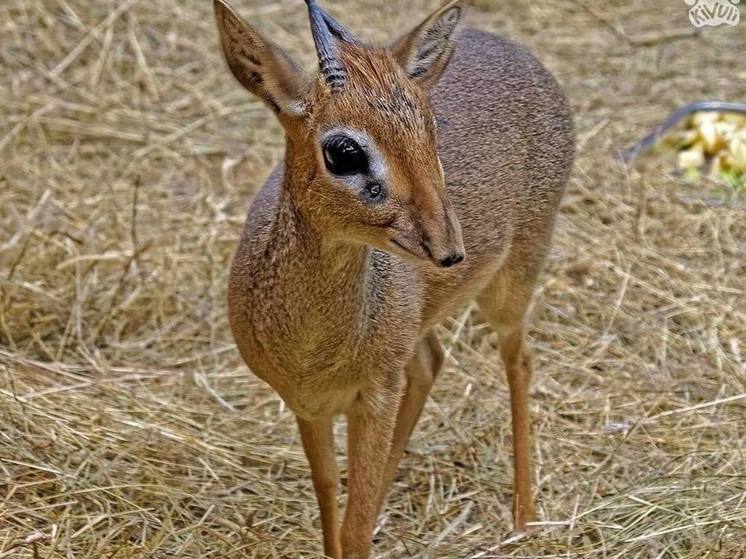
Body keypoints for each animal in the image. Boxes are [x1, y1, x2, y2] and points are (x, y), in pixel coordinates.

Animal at [212, 0, 572, 556]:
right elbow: (329, 499)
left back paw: (525, 515)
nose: (449, 249)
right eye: (344, 151)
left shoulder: (373, 399)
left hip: (514, 278)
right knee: (431, 361)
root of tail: (517, 51)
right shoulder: (308, 407)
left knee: (520, 359)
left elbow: (354, 527)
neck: (315, 349)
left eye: (431, 129)